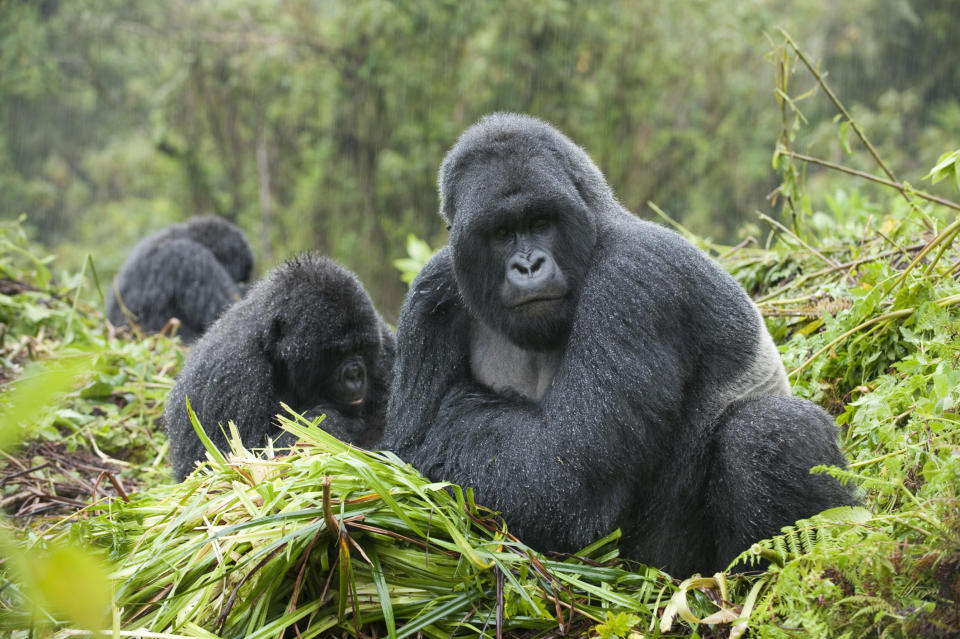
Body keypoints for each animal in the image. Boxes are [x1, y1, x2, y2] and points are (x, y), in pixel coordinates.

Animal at [165, 250, 394, 480]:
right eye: (339, 353)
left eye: (362, 348)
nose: (355, 374)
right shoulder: (231, 374)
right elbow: (237, 464)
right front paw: (330, 421)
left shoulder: (383, 340)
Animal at [382, 112, 856, 576]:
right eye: (501, 233)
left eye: (540, 224)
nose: (529, 265)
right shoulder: (431, 292)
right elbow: (406, 447)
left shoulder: (633, 277)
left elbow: (559, 478)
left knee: (769, 430)